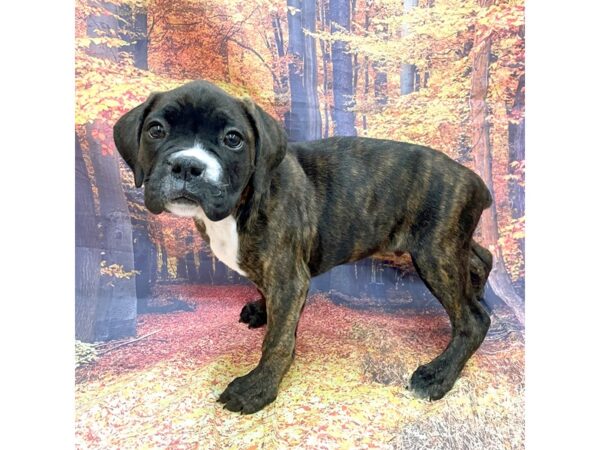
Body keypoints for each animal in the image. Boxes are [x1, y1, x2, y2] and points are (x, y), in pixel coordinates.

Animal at [113, 80, 492, 412]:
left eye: (233, 139)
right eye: (156, 130)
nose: (188, 165)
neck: (240, 205)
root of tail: (474, 179)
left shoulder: (288, 278)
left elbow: (278, 341)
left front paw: (258, 388)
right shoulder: (275, 274)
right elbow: (269, 301)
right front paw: (261, 311)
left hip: (434, 253)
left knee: (473, 320)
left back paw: (438, 375)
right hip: (447, 245)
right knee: (481, 257)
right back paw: (477, 290)